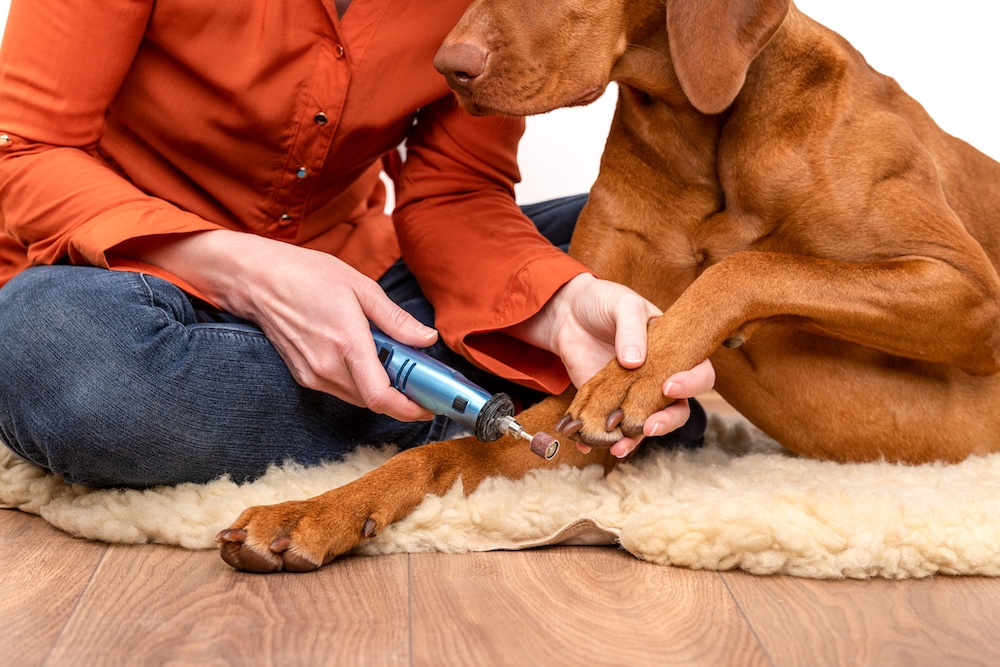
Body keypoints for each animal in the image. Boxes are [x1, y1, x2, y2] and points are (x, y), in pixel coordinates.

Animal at [217, 0, 1000, 576]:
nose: (446, 66)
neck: (705, 131)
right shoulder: (564, 420)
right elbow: (447, 450)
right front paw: (313, 509)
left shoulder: (969, 294)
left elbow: (750, 265)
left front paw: (640, 374)